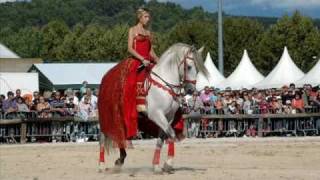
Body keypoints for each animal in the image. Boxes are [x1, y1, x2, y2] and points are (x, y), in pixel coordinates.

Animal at [99, 43, 206, 173]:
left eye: (198, 68)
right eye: (189, 67)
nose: (191, 90)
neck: (165, 83)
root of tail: (106, 78)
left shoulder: (168, 117)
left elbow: (161, 139)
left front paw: (156, 165)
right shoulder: (156, 114)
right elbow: (171, 134)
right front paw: (168, 163)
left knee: (121, 136)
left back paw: (120, 160)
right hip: (108, 117)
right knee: (103, 138)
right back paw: (101, 165)